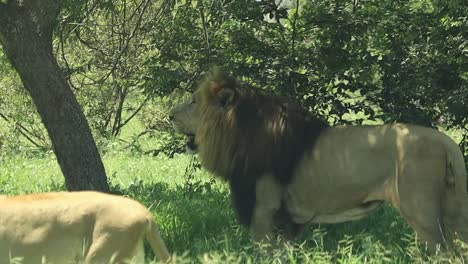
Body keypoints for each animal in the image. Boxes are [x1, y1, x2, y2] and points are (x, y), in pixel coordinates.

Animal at [171, 70, 468, 252]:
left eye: (193, 101)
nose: (169, 115)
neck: (240, 135)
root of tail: (445, 140)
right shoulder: (285, 221)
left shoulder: (263, 211)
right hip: (452, 212)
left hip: (422, 212)